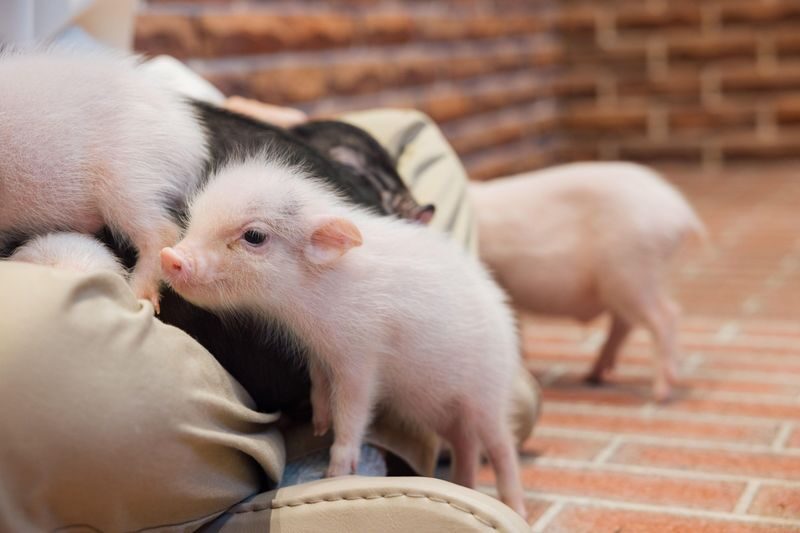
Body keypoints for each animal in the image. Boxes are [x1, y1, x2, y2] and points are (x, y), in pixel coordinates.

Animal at [159, 155, 527, 517]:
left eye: (254, 236)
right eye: (195, 220)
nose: (169, 256)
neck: (307, 305)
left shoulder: (360, 353)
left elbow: (353, 406)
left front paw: (335, 472)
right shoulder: (318, 350)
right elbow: (320, 382)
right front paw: (320, 424)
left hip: (487, 394)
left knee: (500, 446)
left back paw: (516, 509)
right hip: (440, 411)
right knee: (466, 445)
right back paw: (464, 485)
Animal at [469, 162, 706, 401]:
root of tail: (681, 212)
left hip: (632, 271)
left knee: (666, 315)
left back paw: (659, 392)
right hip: (634, 279)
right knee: (628, 322)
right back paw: (593, 376)